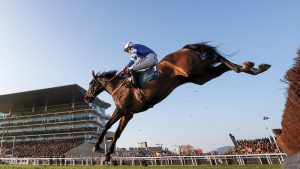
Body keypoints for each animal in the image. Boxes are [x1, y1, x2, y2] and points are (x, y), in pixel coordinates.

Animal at [84, 42, 270, 161]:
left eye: (91, 83)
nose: (86, 97)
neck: (119, 86)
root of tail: (184, 48)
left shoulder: (122, 110)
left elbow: (108, 126)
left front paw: (98, 147)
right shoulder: (129, 114)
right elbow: (117, 133)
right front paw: (107, 154)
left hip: (194, 69)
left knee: (217, 57)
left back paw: (249, 66)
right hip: (200, 76)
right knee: (222, 66)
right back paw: (252, 68)